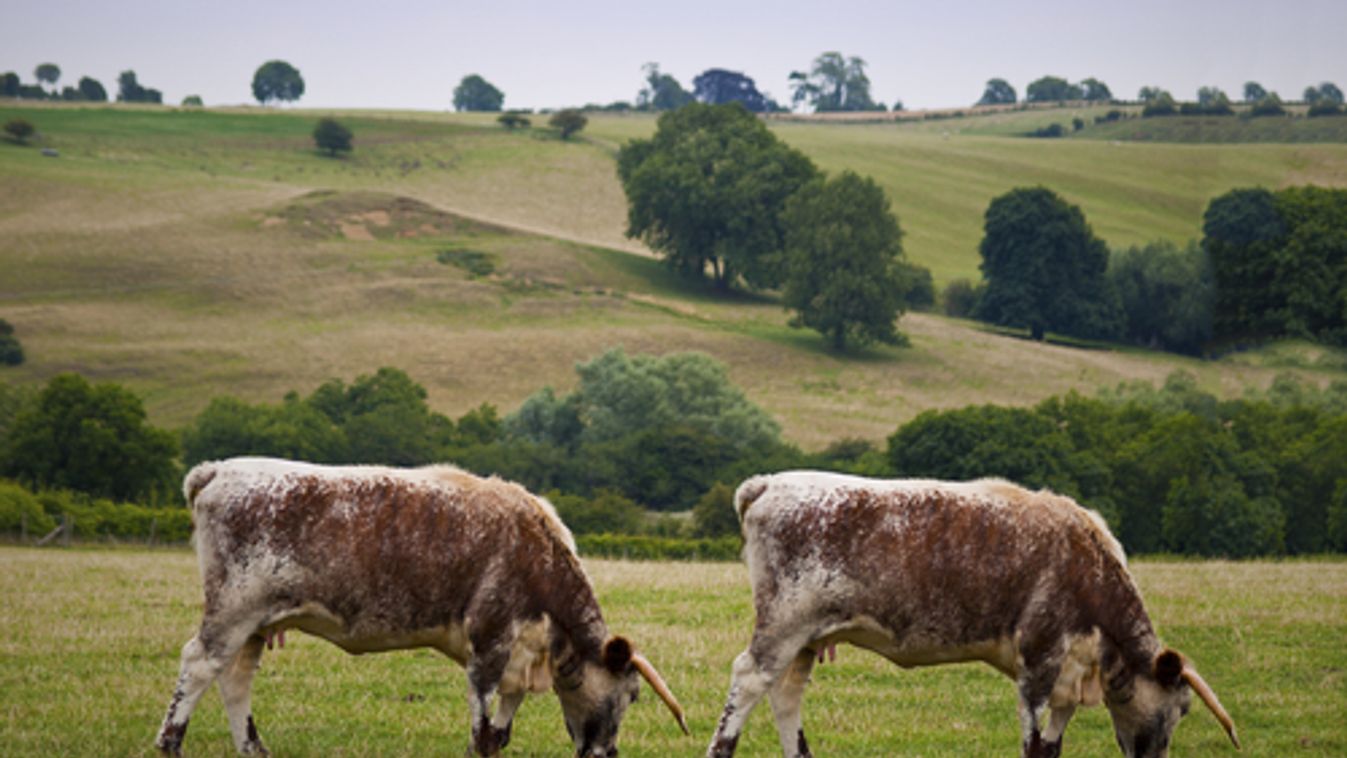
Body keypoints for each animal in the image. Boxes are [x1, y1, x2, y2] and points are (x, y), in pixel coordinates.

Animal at [152, 457, 689, 758]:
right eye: (633, 695)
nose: (609, 753)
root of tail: (219, 469)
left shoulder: (519, 651)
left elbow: (504, 720)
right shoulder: (490, 637)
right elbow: (483, 719)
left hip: (257, 623)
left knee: (235, 676)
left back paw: (254, 747)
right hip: (234, 608)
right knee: (199, 664)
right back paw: (171, 742)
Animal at [705, 471, 1239, 758]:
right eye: (1182, 709)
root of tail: (769, 483)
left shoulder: (1068, 673)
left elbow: (1054, 741)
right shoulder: (1040, 658)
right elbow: (1034, 742)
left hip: (807, 638)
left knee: (786, 694)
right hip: (784, 623)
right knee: (749, 681)